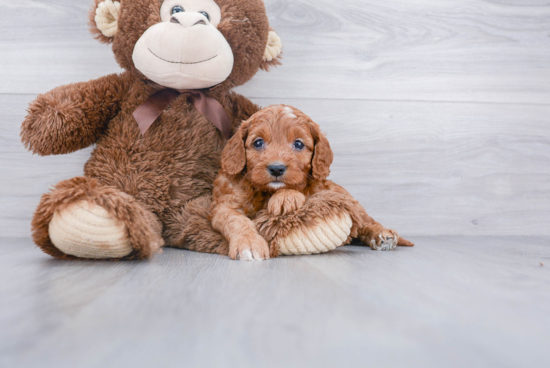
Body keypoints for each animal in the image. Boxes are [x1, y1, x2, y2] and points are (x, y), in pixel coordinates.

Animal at [211, 103, 414, 260]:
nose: (276, 169)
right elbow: (237, 221)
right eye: (258, 143)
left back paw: (382, 235)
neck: (265, 192)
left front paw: (285, 198)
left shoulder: (317, 189)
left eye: (299, 144)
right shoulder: (224, 205)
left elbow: (300, 190)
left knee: (366, 221)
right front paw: (249, 244)